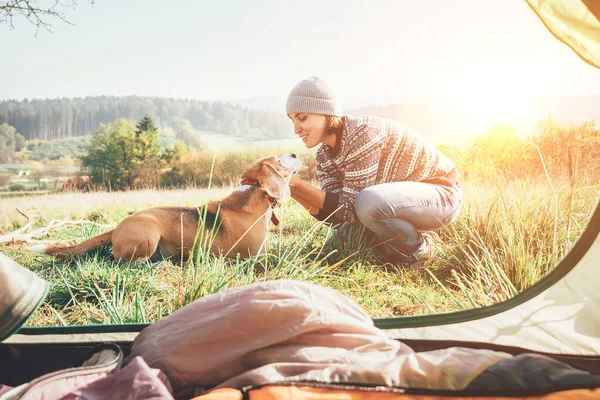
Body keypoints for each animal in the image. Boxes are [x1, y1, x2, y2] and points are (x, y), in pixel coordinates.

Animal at [29, 155, 300, 264]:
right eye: (278, 161)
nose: (295, 153)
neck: (252, 193)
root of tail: (115, 228)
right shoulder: (257, 256)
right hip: (149, 231)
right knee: (125, 262)